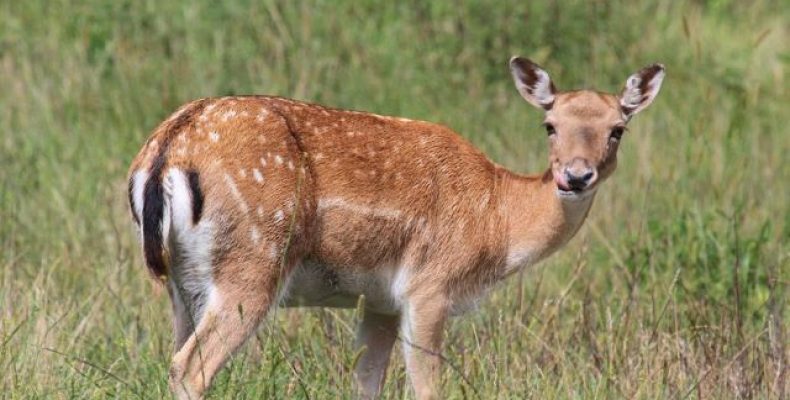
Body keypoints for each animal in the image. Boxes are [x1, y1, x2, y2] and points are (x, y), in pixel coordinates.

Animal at [128, 57, 664, 400]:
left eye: (618, 129)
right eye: (549, 124)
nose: (575, 176)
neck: (497, 221)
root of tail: (165, 153)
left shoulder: (380, 301)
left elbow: (365, 385)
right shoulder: (430, 286)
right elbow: (427, 388)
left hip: (182, 282)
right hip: (253, 264)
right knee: (190, 368)